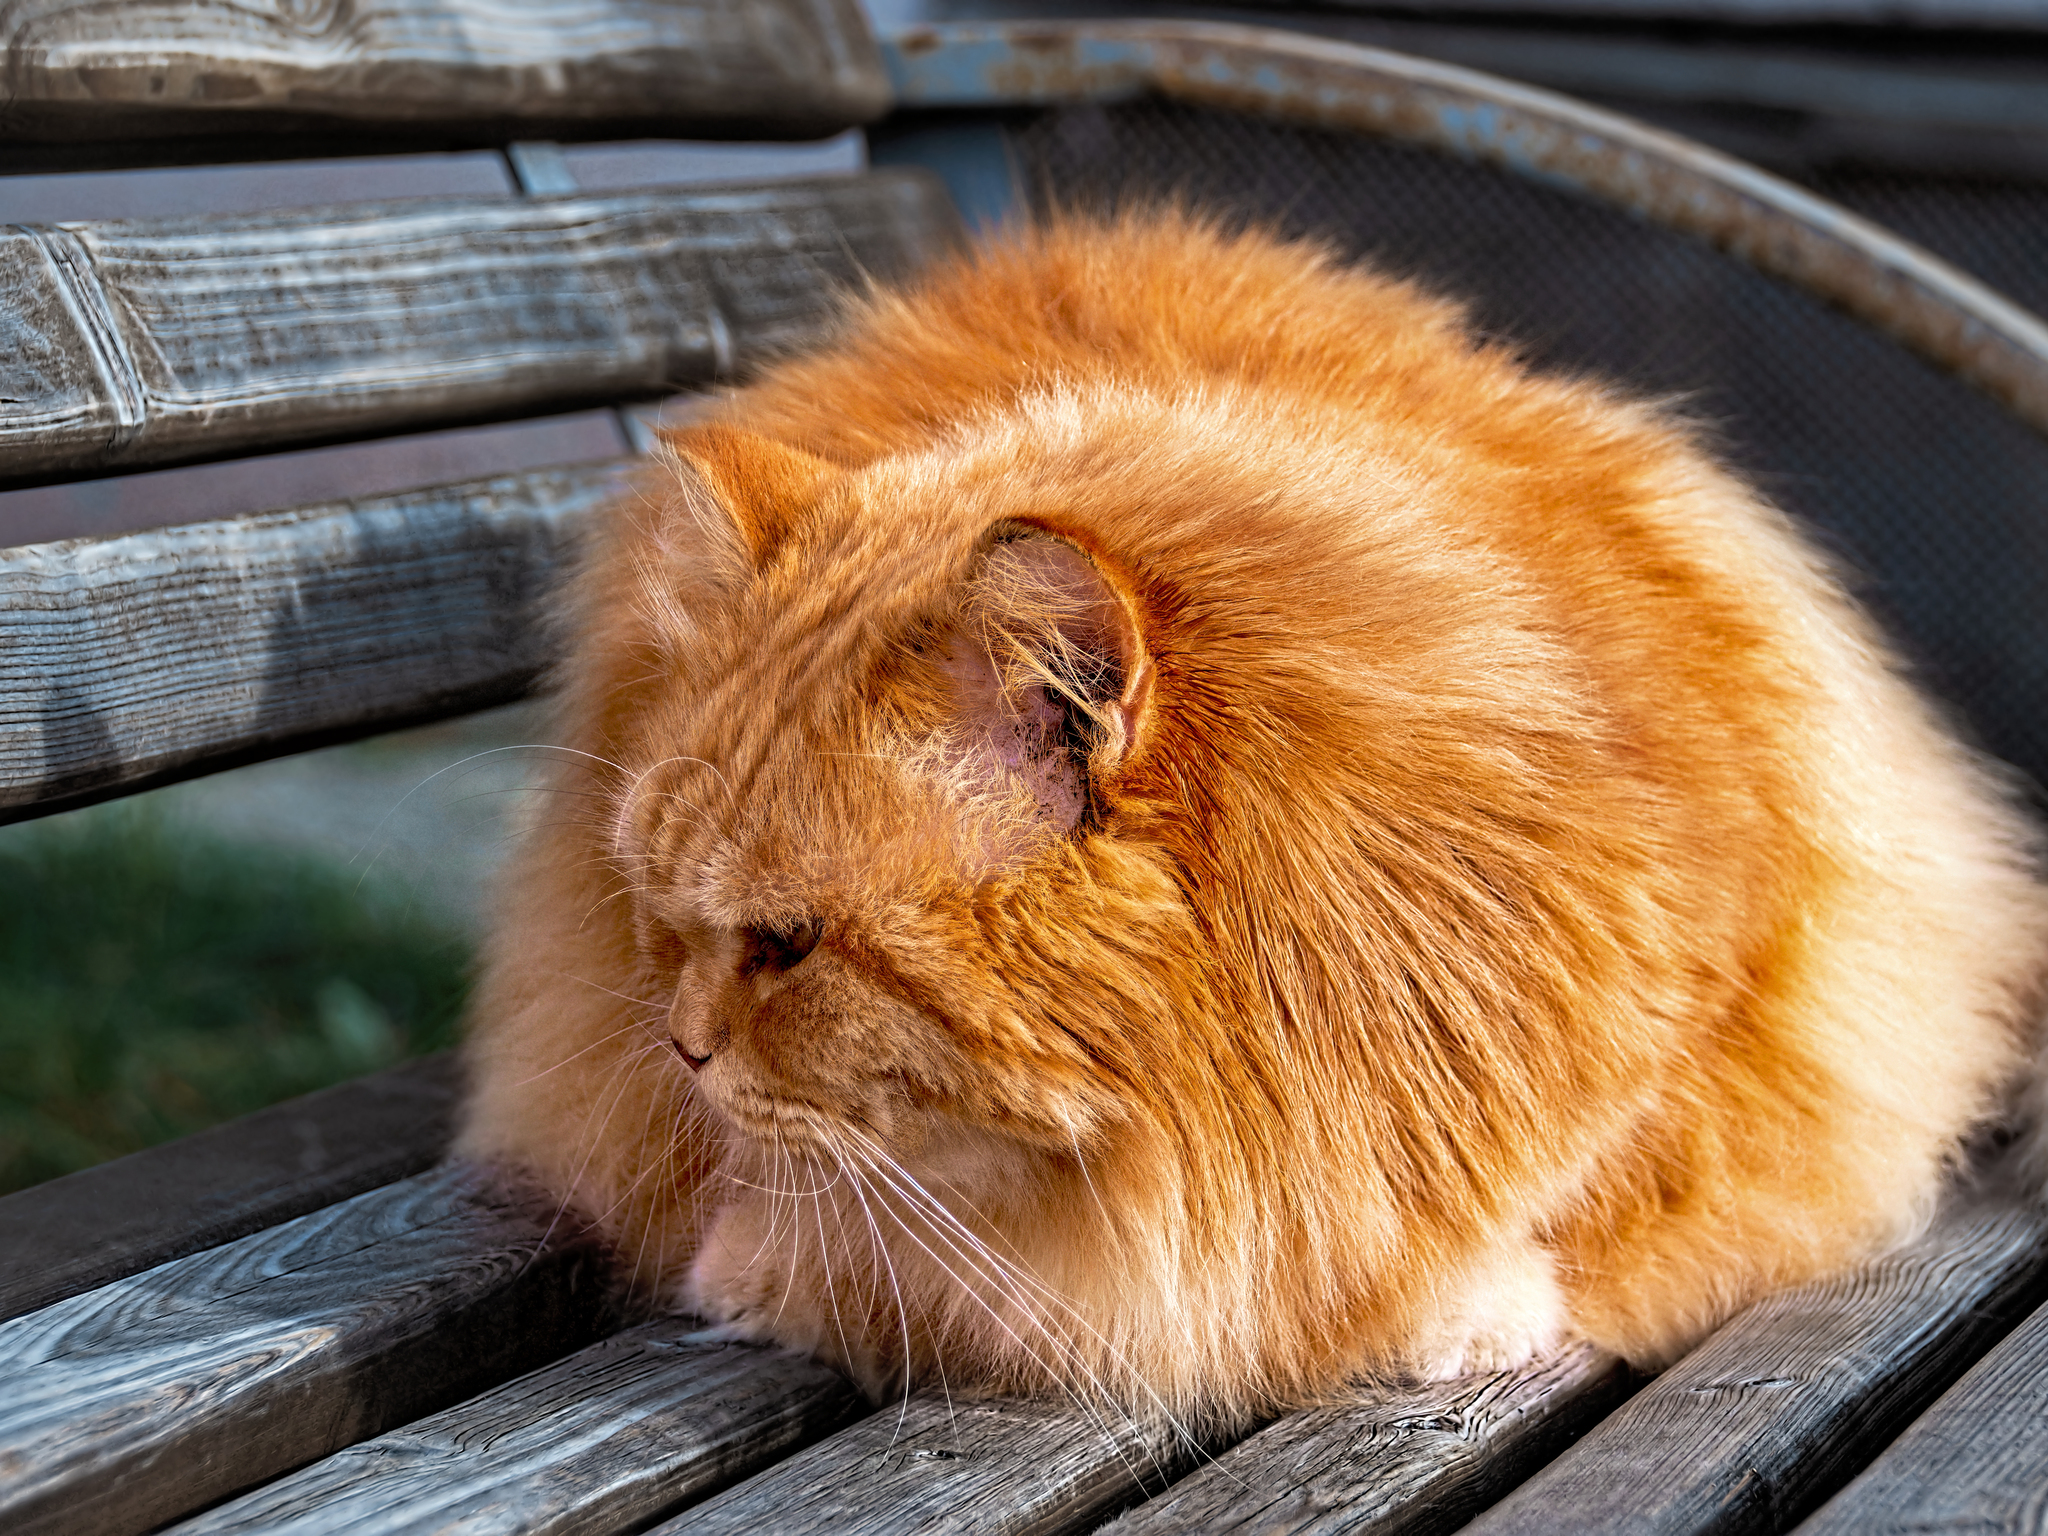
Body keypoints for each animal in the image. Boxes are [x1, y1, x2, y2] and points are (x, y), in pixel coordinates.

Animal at [460, 210, 2048, 1425]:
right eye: (666, 924)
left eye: (788, 947)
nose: (683, 1044)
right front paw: (755, 1270)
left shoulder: (1750, 1006)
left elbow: (1618, 1190)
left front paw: (1462, 1308)